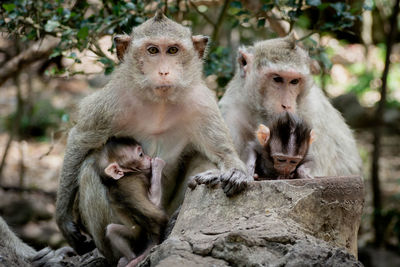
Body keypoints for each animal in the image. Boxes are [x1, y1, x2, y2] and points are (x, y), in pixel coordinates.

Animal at [55, 11, 250, 260]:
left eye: (173, 50)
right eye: (153, 50)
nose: (163, 71)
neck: (160, 102)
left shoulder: (201, 103)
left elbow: (222, 152)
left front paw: (233, 173)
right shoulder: (112, 102)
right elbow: (80, 140)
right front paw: (63, 219)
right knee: (90, 167)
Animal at [219, 33, 362, 178]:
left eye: (294, 81)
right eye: (277, 79)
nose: (286, 105)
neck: (260, 114)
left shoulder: (314, 113)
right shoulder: (231, 112)